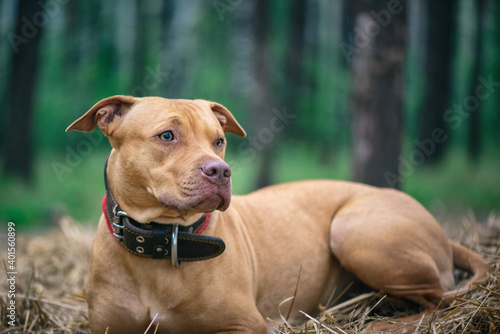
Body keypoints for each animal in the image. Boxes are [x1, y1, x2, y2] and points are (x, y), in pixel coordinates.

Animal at [65, 95, 488, 332]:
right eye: (166, 136)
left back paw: (383, 325)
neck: (162, 240)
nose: (220, 171)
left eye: (219, 141)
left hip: (356, 232)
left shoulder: (244, 325)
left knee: (441, 302)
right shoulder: (109, 327)